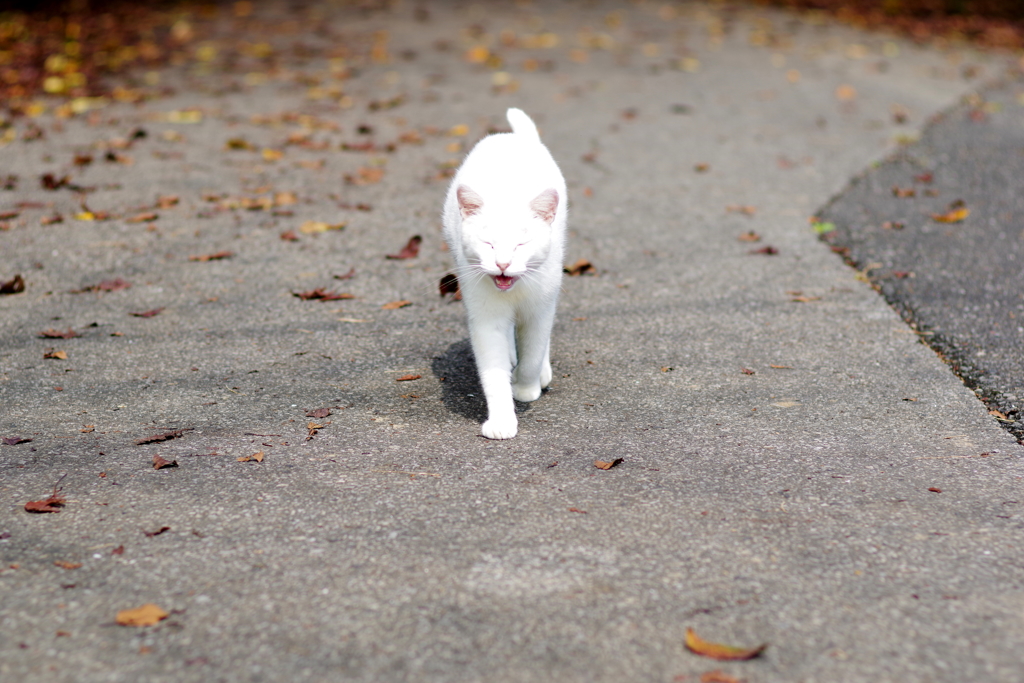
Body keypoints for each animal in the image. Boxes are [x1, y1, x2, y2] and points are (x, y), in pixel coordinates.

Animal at [442, 107, 569, 438]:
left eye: (521, 244)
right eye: (488, 244)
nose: (501, 264)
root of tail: (510, 137)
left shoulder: (540, 308)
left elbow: (534, 353)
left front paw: (526, 387)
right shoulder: (486, 318)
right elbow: (493, 371)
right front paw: (501, 421)